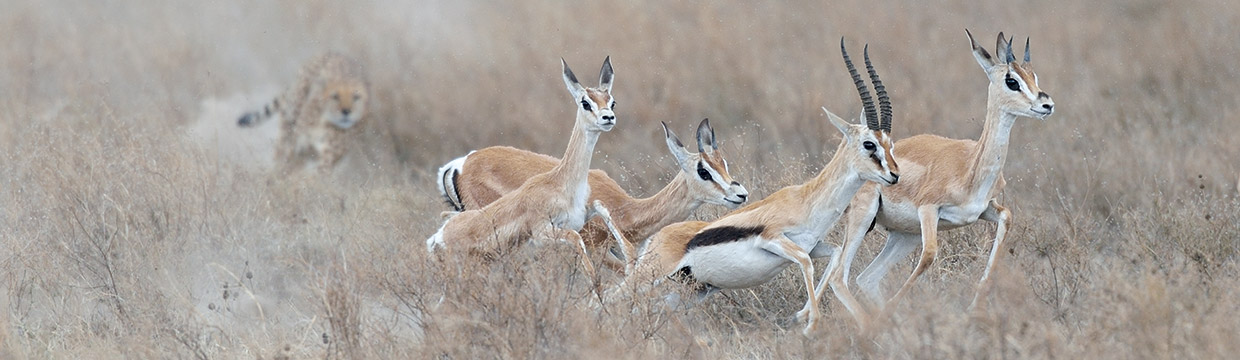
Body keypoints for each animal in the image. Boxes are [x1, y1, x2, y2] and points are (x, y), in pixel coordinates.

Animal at [236, 51, 369, 172]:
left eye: (356, 97)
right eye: (335, 96)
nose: (346, 111)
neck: (325, 122)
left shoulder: (327, 158)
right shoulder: (299, 146)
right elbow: (288, 163)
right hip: (291, 114)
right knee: (281, 144)